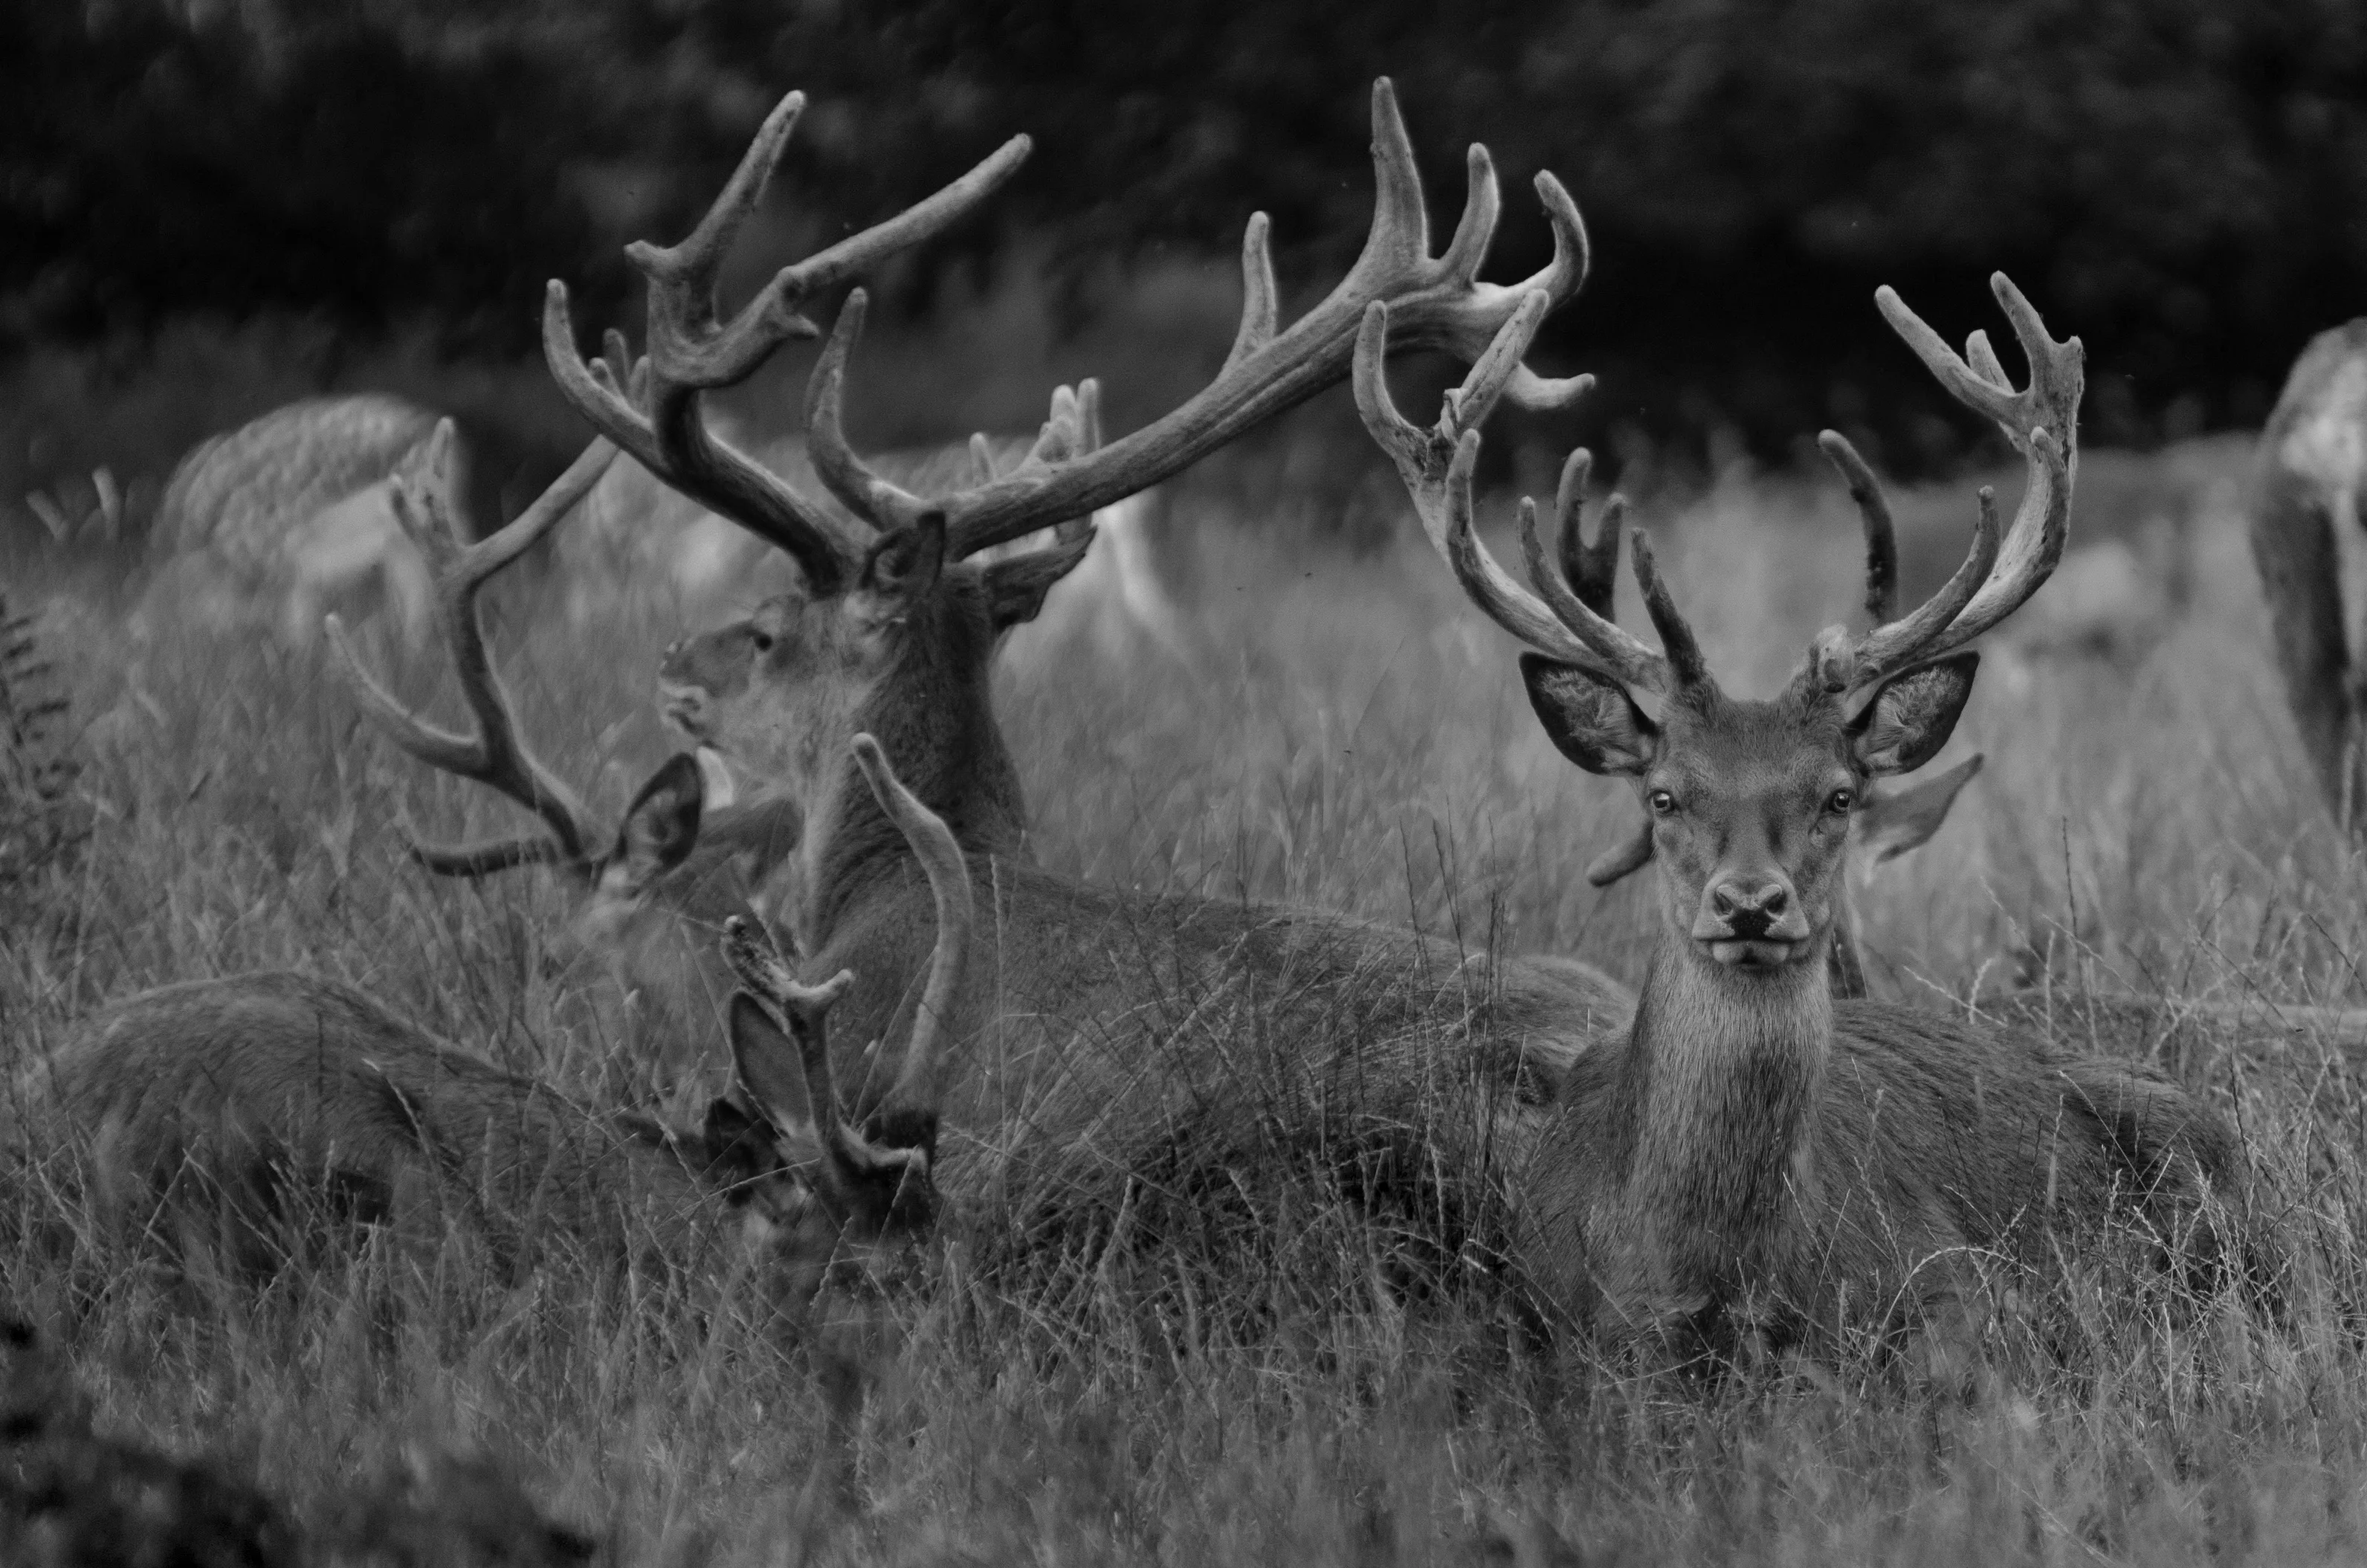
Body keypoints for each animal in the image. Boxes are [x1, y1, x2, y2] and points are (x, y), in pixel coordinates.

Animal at [1356, 274, 2248, 1355]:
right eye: (1664, 794)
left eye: (1837, 794)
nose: (1750, 904)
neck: (1710, 1272)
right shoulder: (1538, 1310)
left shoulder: (1948, 1281)